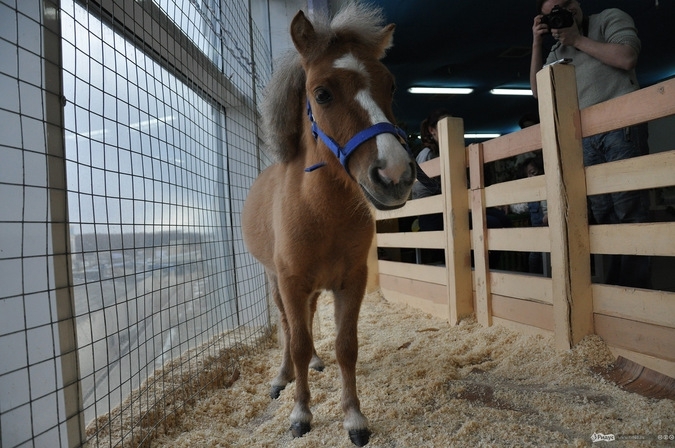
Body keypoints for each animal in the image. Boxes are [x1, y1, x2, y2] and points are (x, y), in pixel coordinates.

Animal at [240, 2, 414, 444]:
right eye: (322, 93)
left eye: (390, 86)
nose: (395, 175)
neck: (322, 212)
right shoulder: (290, 281)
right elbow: (298, 341)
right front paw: (301, 413)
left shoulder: (350, 281)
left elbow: (345, 345)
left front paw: (354, 417)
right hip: (276, 281)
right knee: (289, 328)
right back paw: (282, 378)